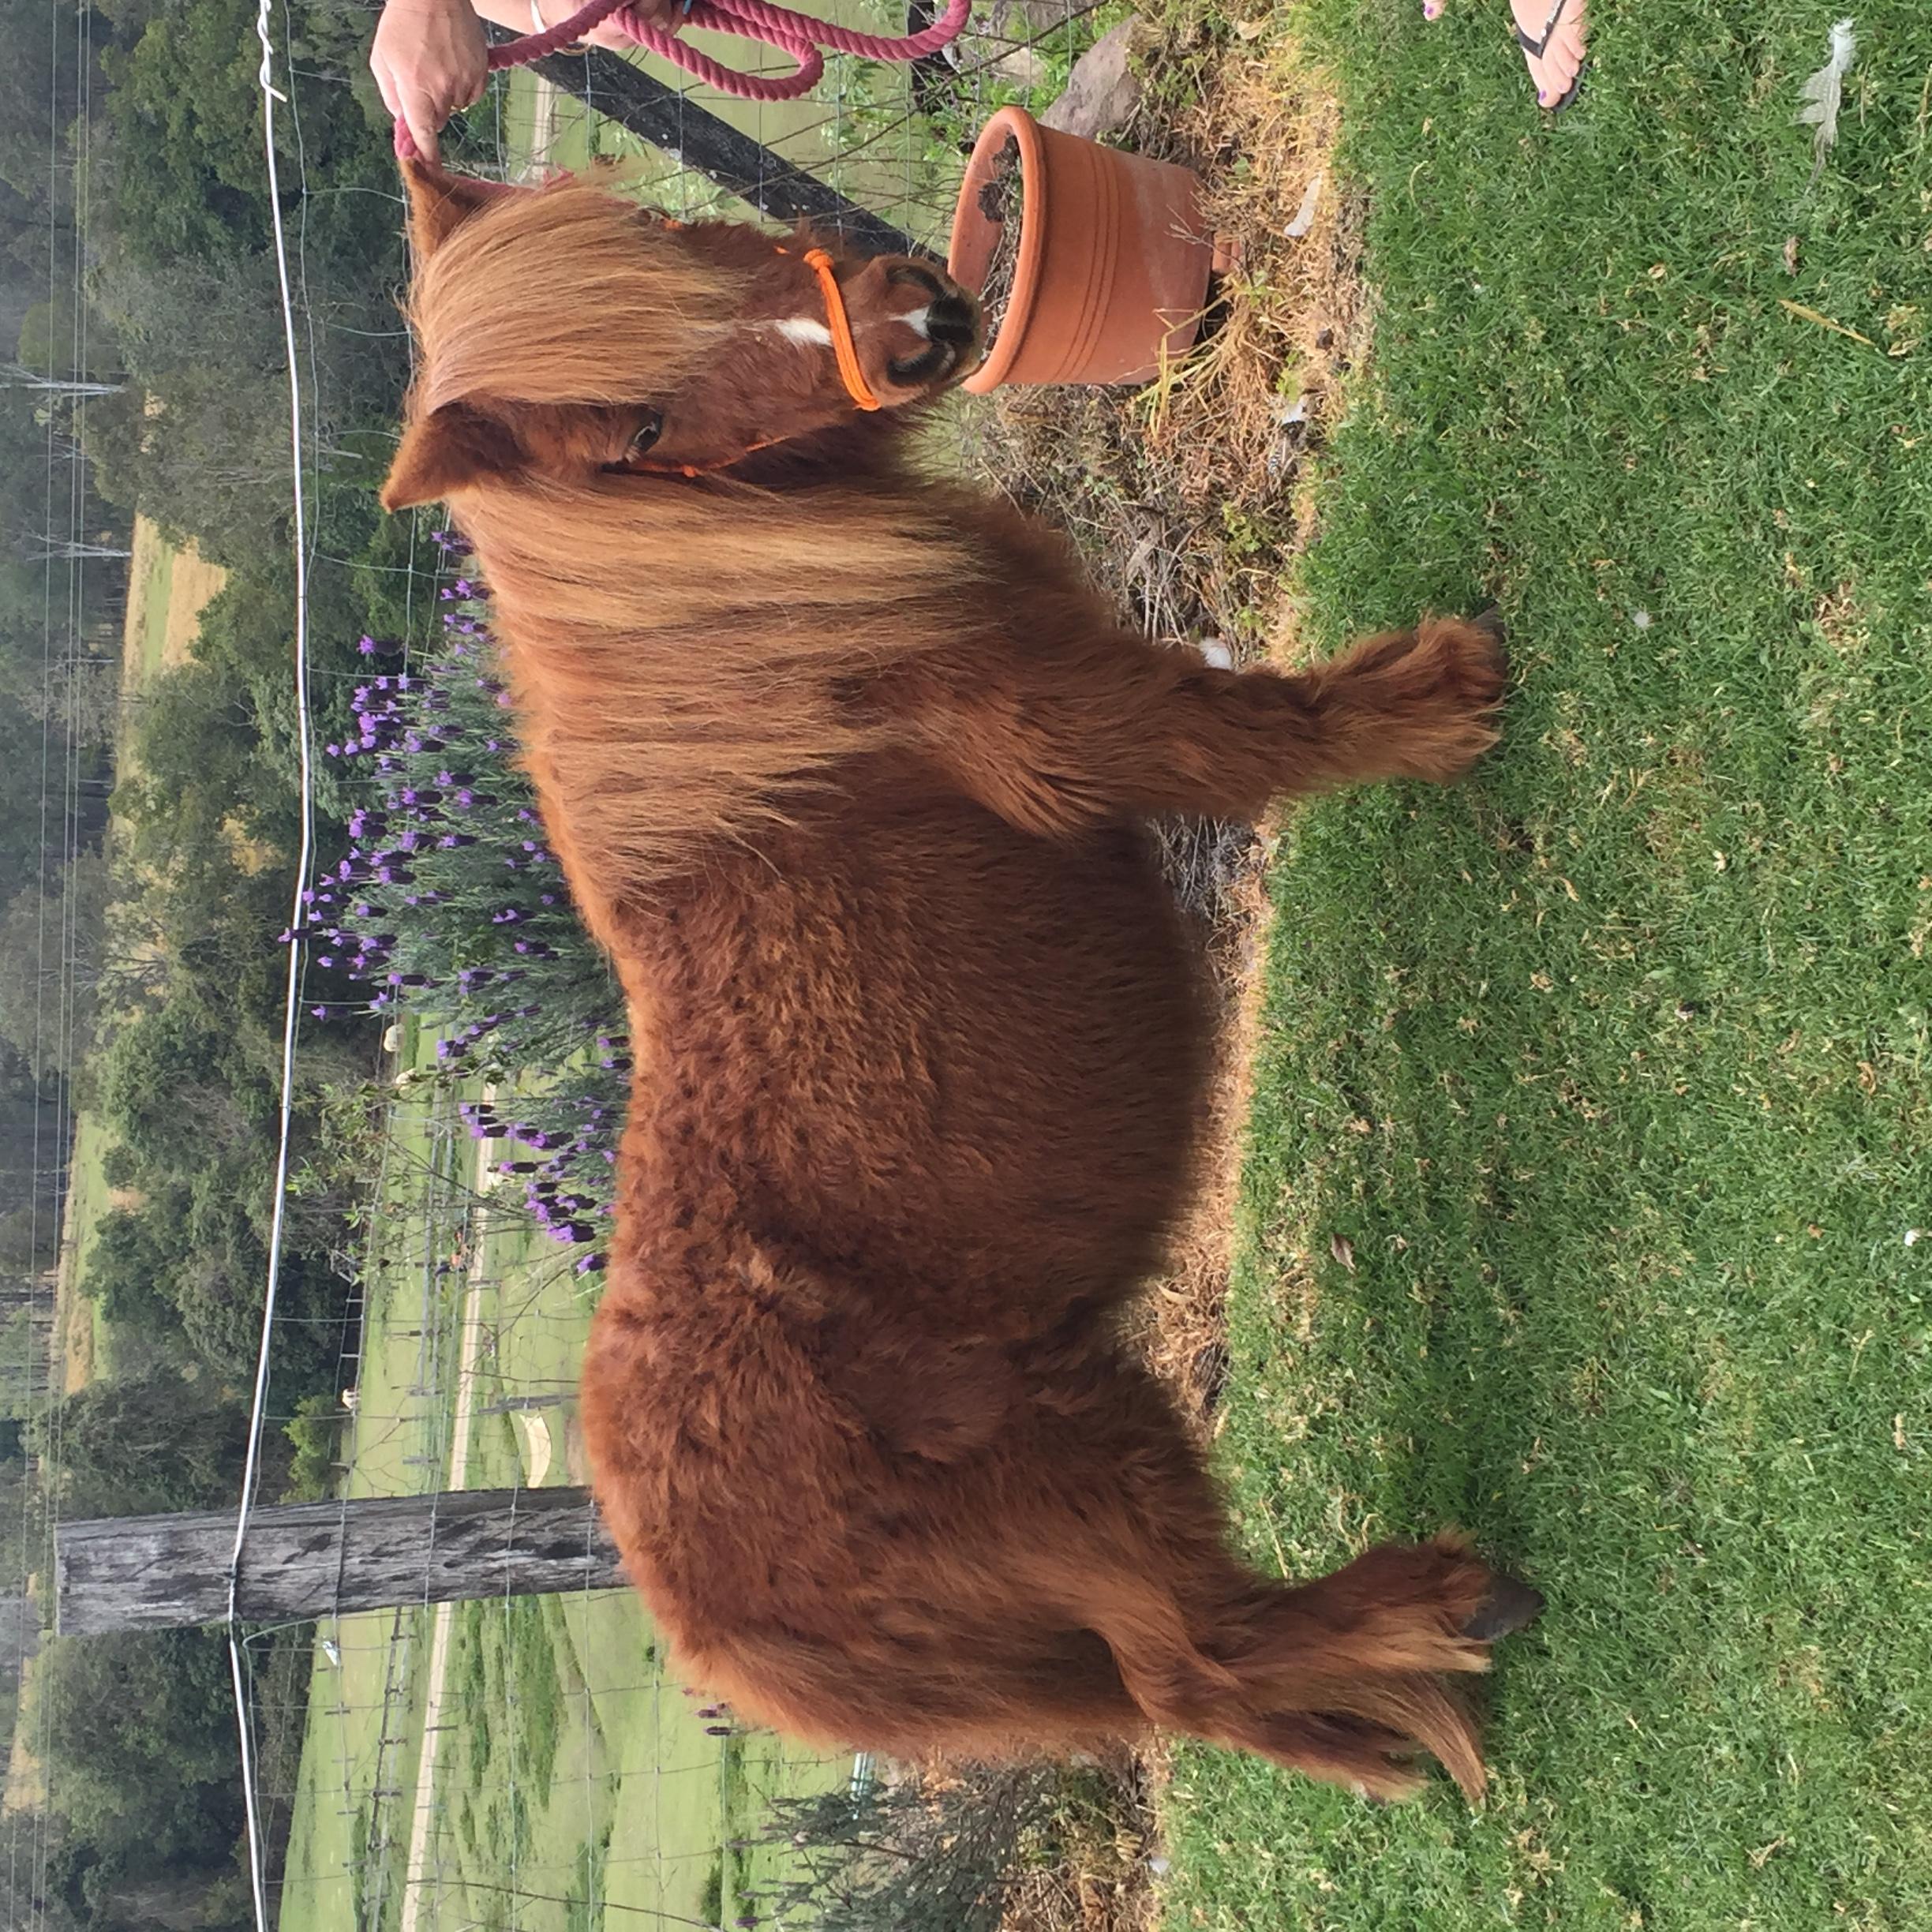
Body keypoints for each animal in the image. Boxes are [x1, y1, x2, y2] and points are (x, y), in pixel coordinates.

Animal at [382, 158, 1538, 1802]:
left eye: (660, 237)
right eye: (636, 441)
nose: (922, 319)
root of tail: (710, 1628)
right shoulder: (1074, 722)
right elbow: (1256, 733)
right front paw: (1443, 699)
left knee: (1201, 1687)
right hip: (1081, 1469)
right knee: (1201, 1661)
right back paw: (1443, 1603)